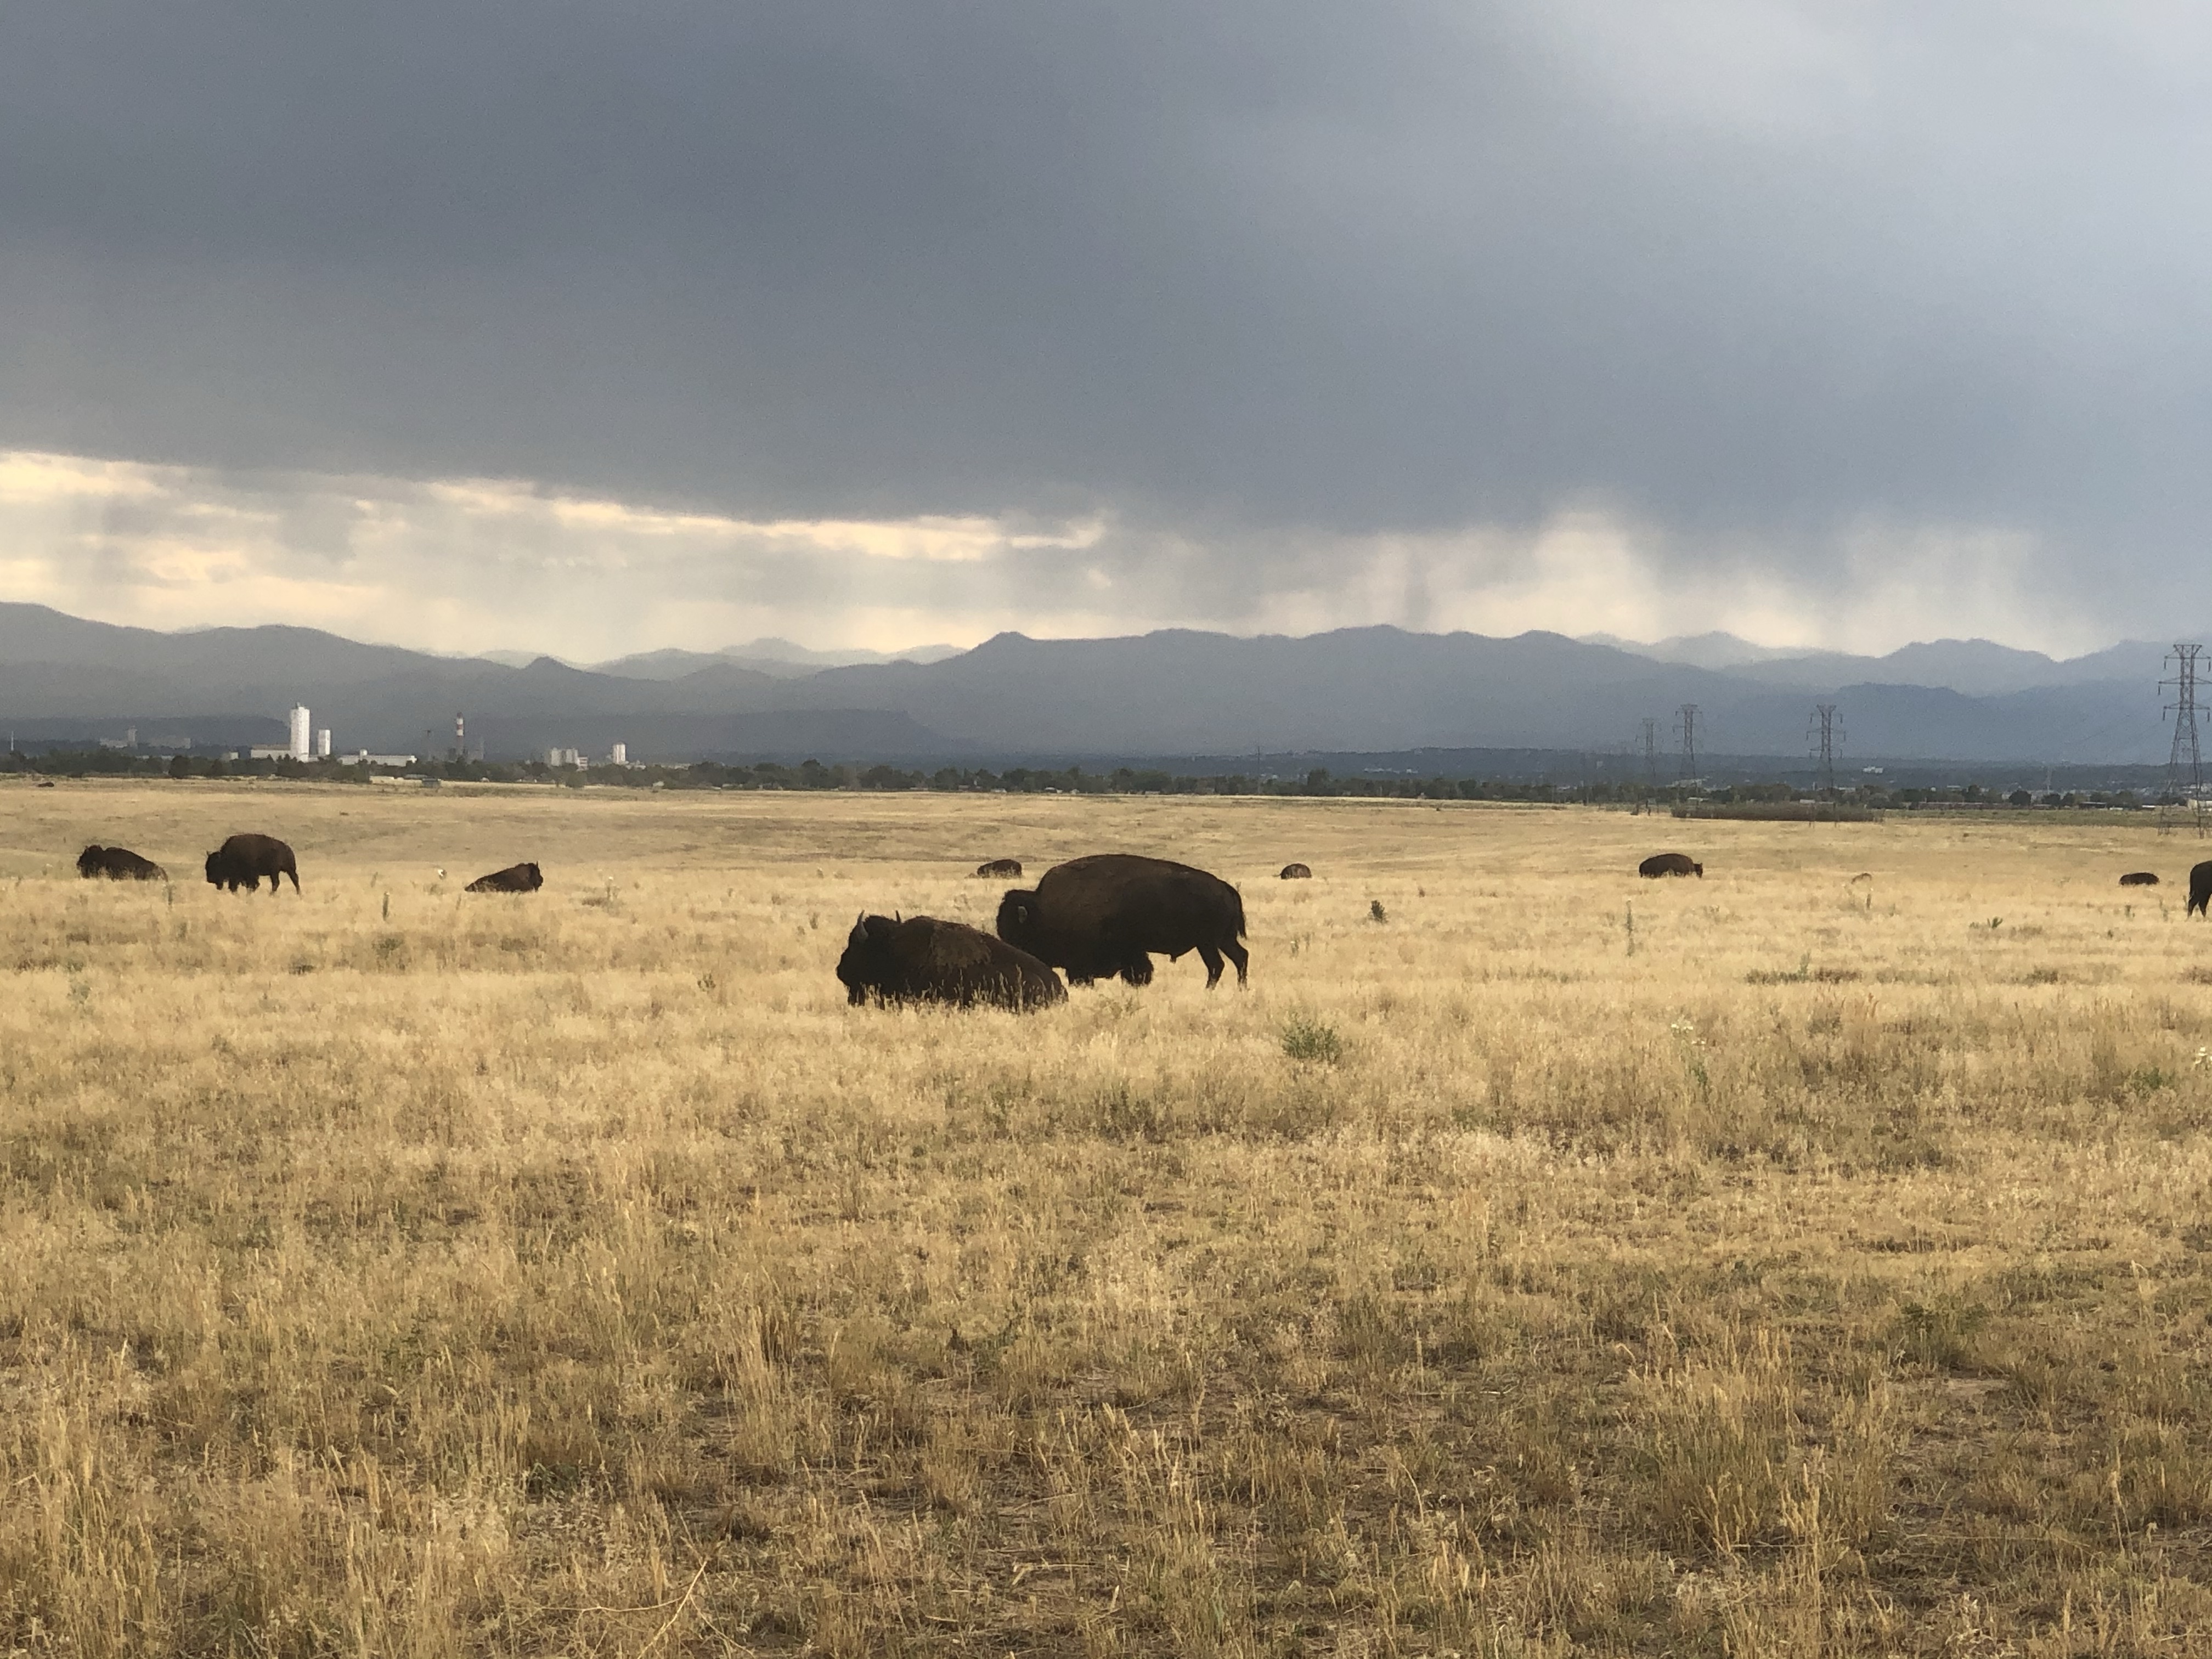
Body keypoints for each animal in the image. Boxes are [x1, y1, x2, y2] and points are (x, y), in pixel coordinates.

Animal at [204, 833, 300, 895]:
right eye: (206, 867)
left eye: (216, 866)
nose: (210, 879)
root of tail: (288, 849)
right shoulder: (238, 877)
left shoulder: (250, 875)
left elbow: (252, 886)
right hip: (287, 871)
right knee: (294, 880)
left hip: (276, 871)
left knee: (277, 883)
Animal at [997, 853, 1249, 988]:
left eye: (1018, 935)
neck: (1043, 909)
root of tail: (1225, 888)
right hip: (1222, 940)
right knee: (1239, 958)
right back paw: (1240, 989)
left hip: (1208, 943)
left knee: (1218, 965)